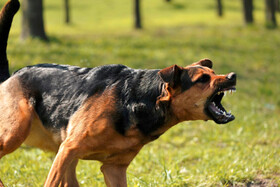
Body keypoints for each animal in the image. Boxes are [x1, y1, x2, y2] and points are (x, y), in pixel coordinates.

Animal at [0, 0, 236, 186]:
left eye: (213, 72)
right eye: (203, 79)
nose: (232, 76)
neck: (138, 101)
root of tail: (11, 76)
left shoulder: (113, 168)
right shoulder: (69, 149)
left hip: (62, 156)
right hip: (16, 133)